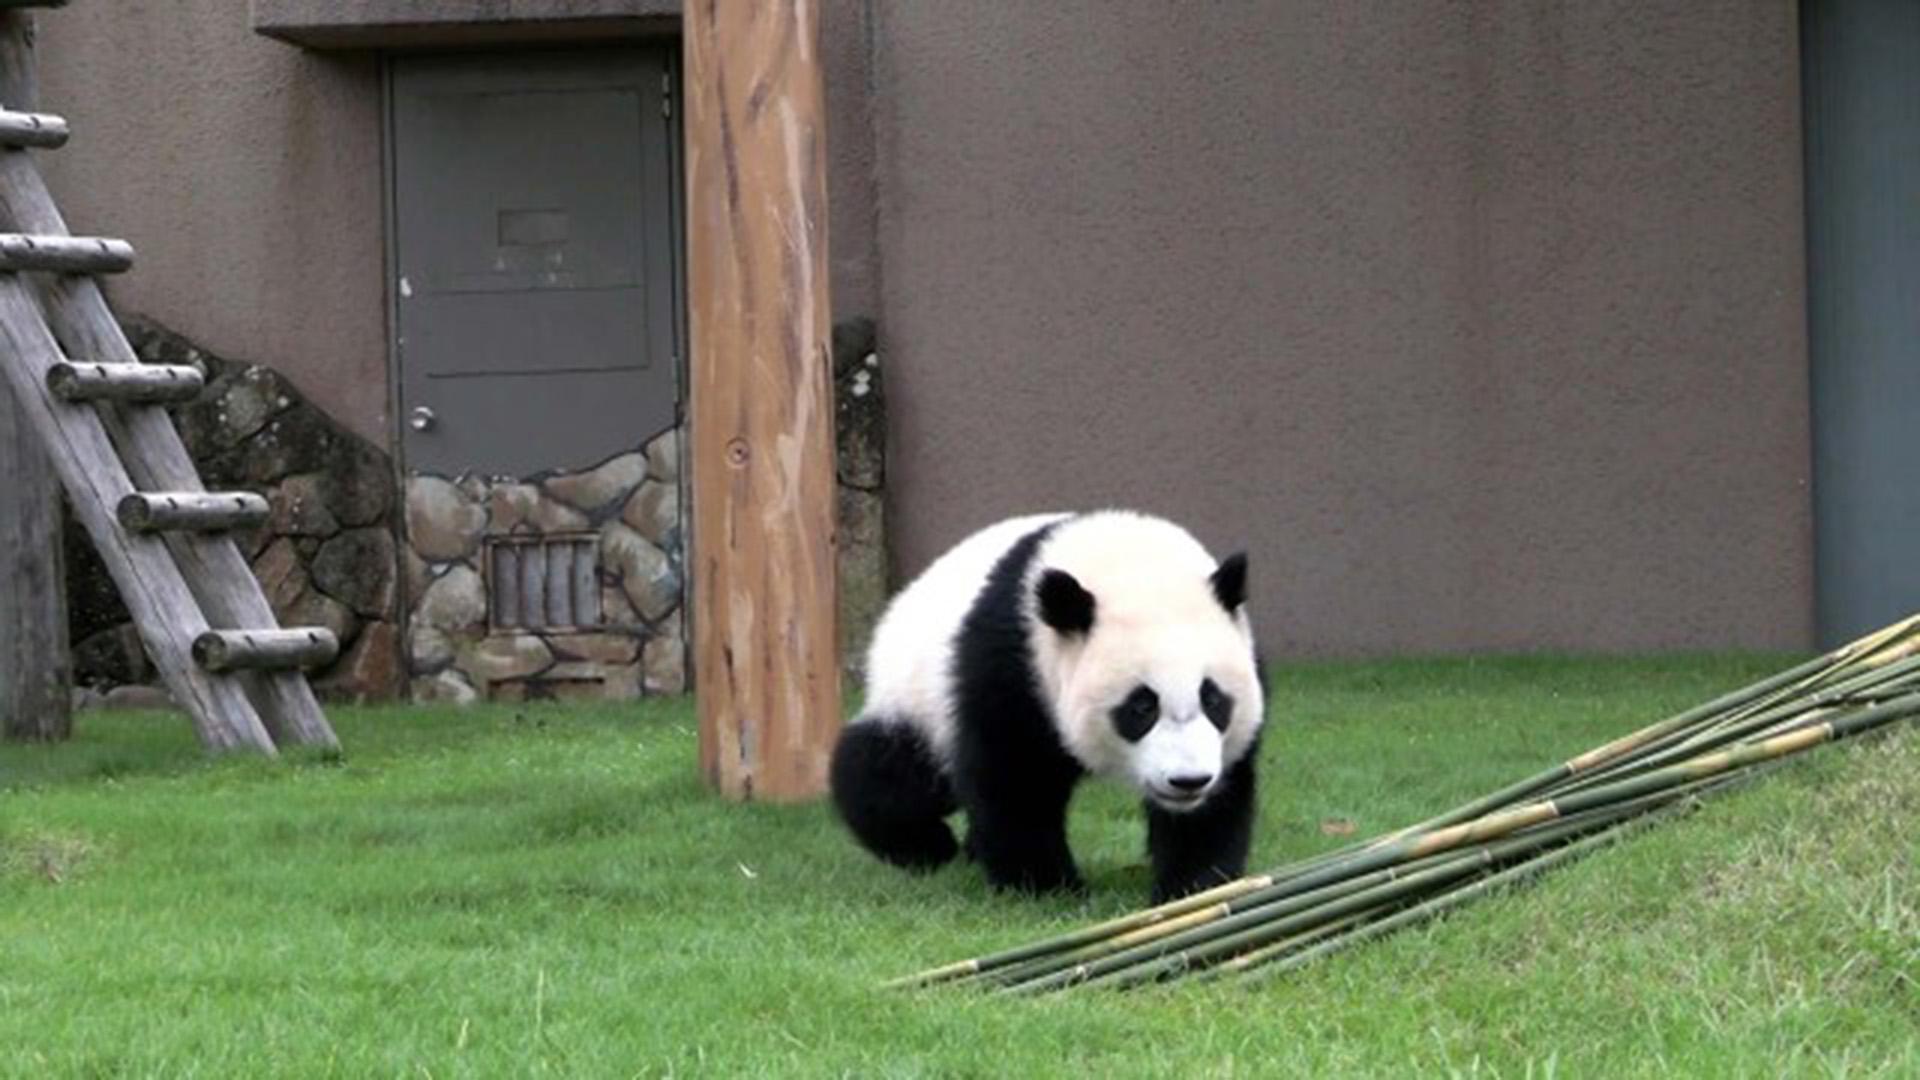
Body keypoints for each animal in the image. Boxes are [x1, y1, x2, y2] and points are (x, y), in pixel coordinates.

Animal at [825, 507, 1259, 895]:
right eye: (1141, 707)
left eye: (1213, 700)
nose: (1189, 781)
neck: (1129, 565)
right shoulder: (1013, 665)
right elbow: (1014, 779)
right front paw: (1047, 886)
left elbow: (1219, 801)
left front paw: (1194, 885)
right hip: (917, 699)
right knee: (892, 770)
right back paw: (929, 846)